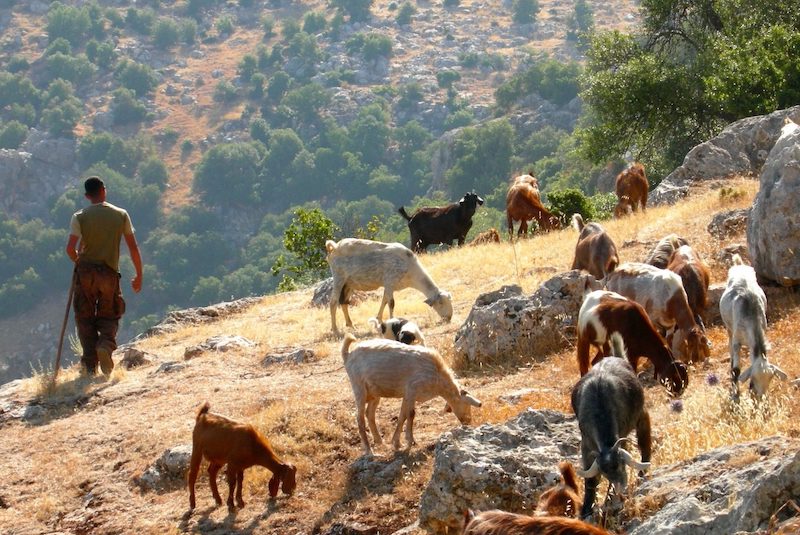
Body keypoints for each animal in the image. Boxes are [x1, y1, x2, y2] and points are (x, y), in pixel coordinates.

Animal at [340, 336, 478, 456]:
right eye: (467, 404)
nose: (468, 422)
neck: (437, 375)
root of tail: (348, 355)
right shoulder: (412, 390)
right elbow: (411, 414)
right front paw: (410, 441)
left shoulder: (407, 395)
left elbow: (402, 415)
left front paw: (397, 443)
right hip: (359, 389)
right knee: (360, 418)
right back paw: (369, 451)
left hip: (374, 393)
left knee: (369, 414)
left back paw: (379, 440)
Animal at [568, 338, 648, 520]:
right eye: (604, 472)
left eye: (620, 465)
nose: (620, 488)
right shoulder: (587, 443)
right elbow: (590, 481)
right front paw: (586, 510)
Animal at [720, 254, 788, 398]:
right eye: (754, 378)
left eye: (770, 379)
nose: (759, 396)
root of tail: (739, 265)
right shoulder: (737, 341)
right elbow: (736, 370)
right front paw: (735, 395)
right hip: (729, 328)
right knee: (730, 346)